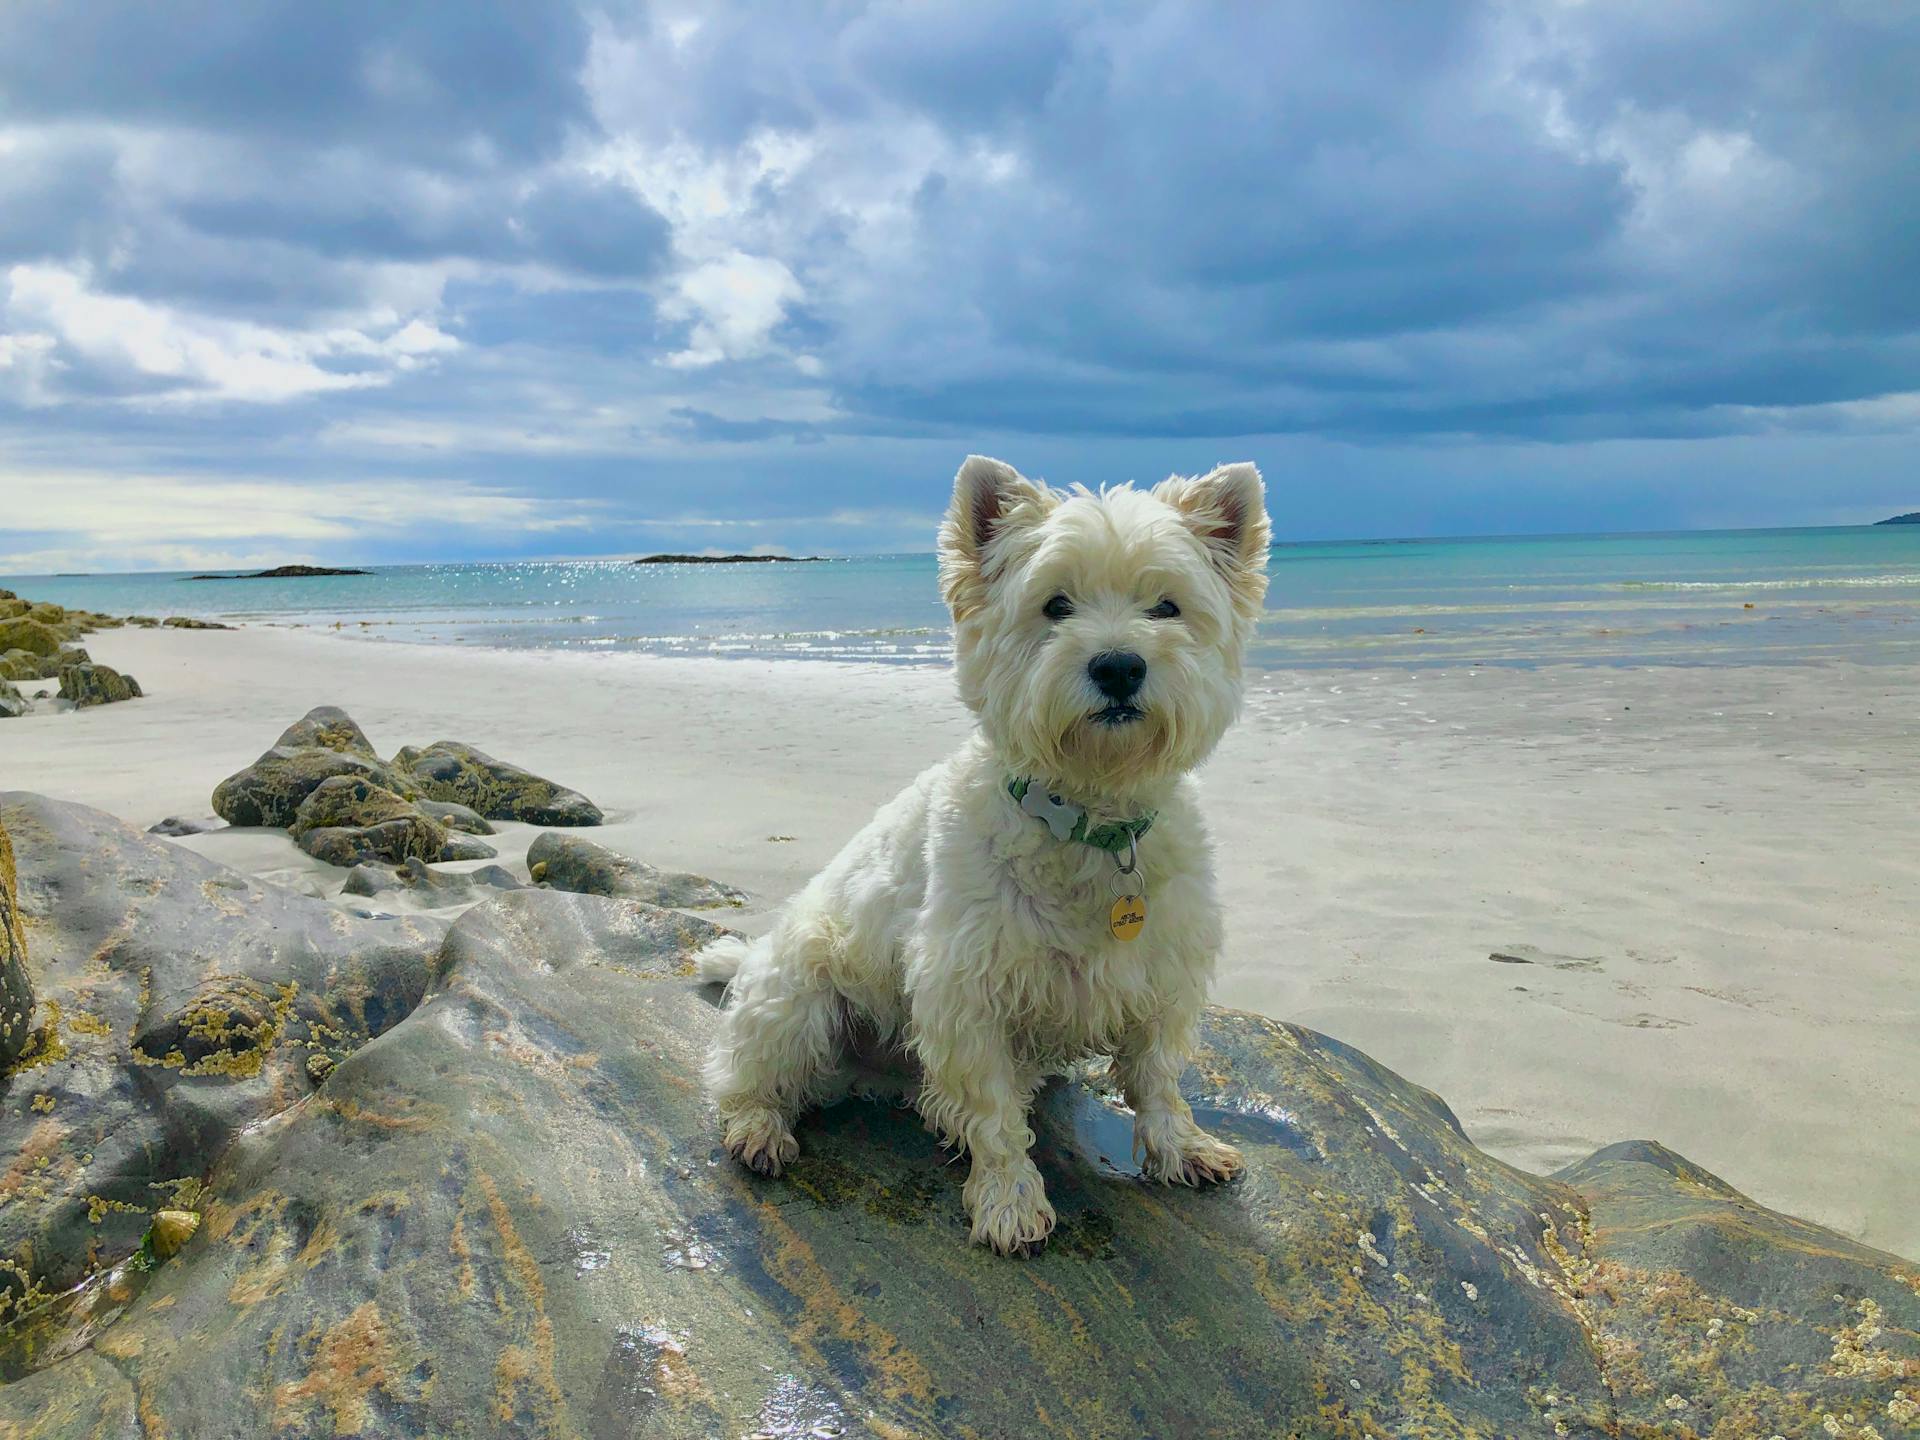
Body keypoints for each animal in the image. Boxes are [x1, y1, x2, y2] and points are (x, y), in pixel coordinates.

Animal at [698, 458, 1267, 1251]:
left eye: (1166, 606)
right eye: (1055, 604)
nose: (1119, 667)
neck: (1087, 817)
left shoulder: (1162, 972)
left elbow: (1156, 1077)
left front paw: (1182, 1148)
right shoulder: (966, 989)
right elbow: (994, 1114)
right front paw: (1009, 1200)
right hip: (799, 995)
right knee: (742, 1073)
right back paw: (759, 1130)